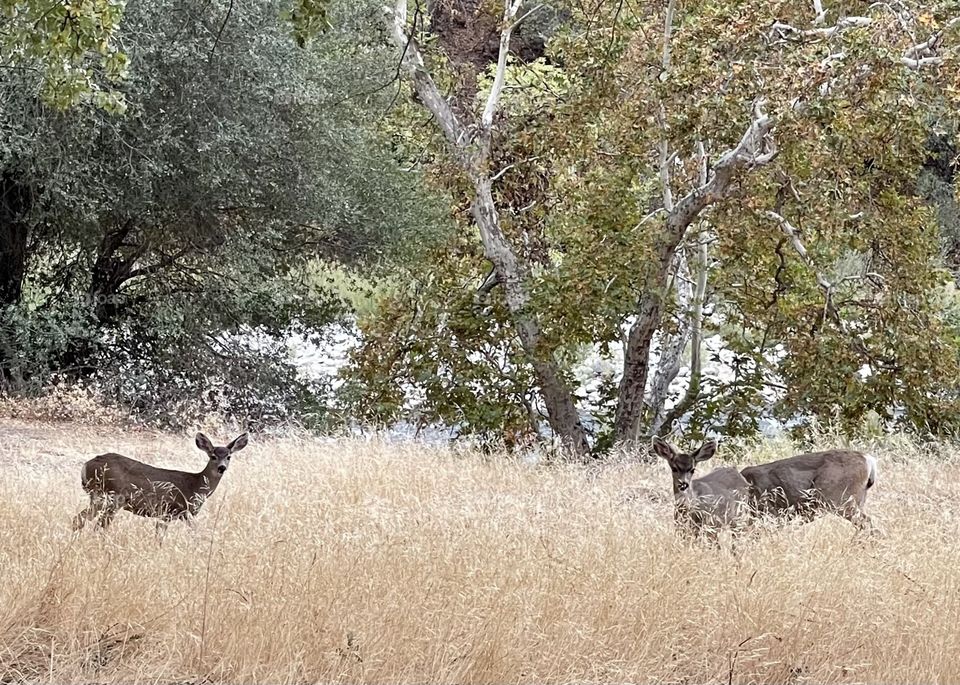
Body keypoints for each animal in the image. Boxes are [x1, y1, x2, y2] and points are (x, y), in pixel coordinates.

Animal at [73, 432, 248, 534]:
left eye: (228, 456)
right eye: (213, 456)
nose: (221, 468)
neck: (195, 485)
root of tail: (86, 465)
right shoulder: (171, 510)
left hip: (98, 498)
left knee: (78, 519)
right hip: (114, 497)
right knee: (99, 527)